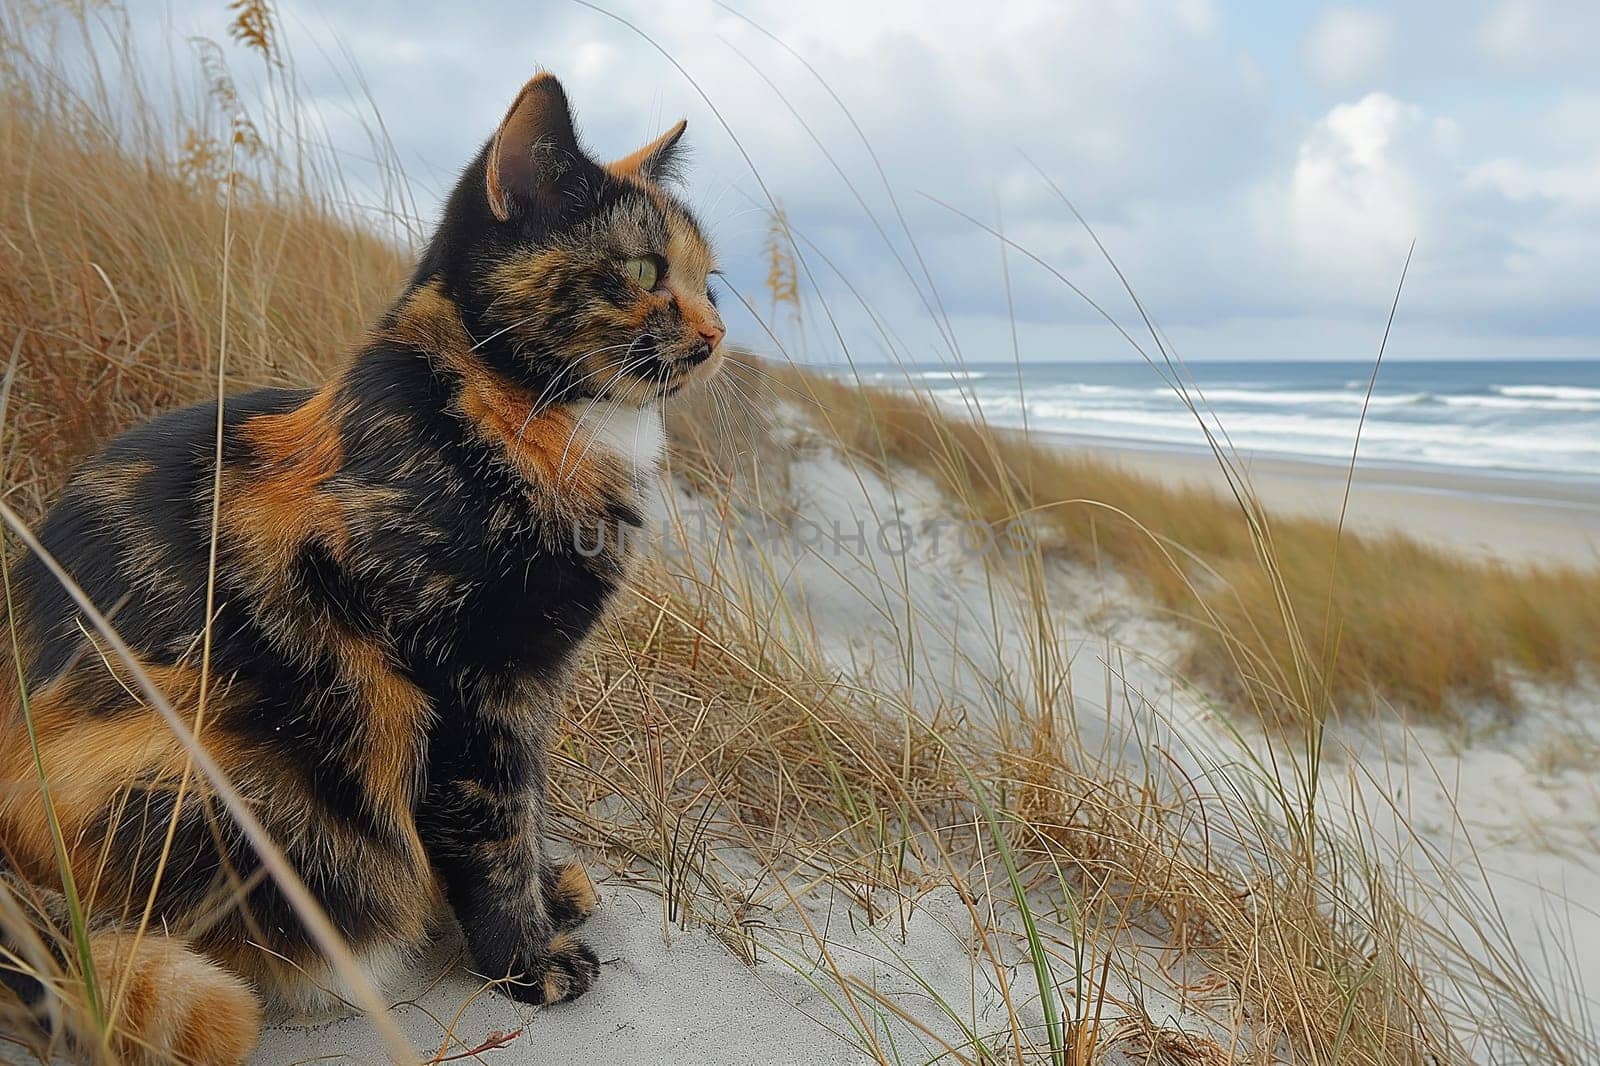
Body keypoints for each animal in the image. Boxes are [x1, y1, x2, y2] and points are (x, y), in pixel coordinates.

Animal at [0, 74, 726, 1062]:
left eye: (709, 281)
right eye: (649, 272)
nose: (718, 333)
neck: (503, 409)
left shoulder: (531, 689)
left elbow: (531, 804)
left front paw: (549, 891)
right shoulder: (466, 684)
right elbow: (491, 828)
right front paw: (526, 960)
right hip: (222, 775)